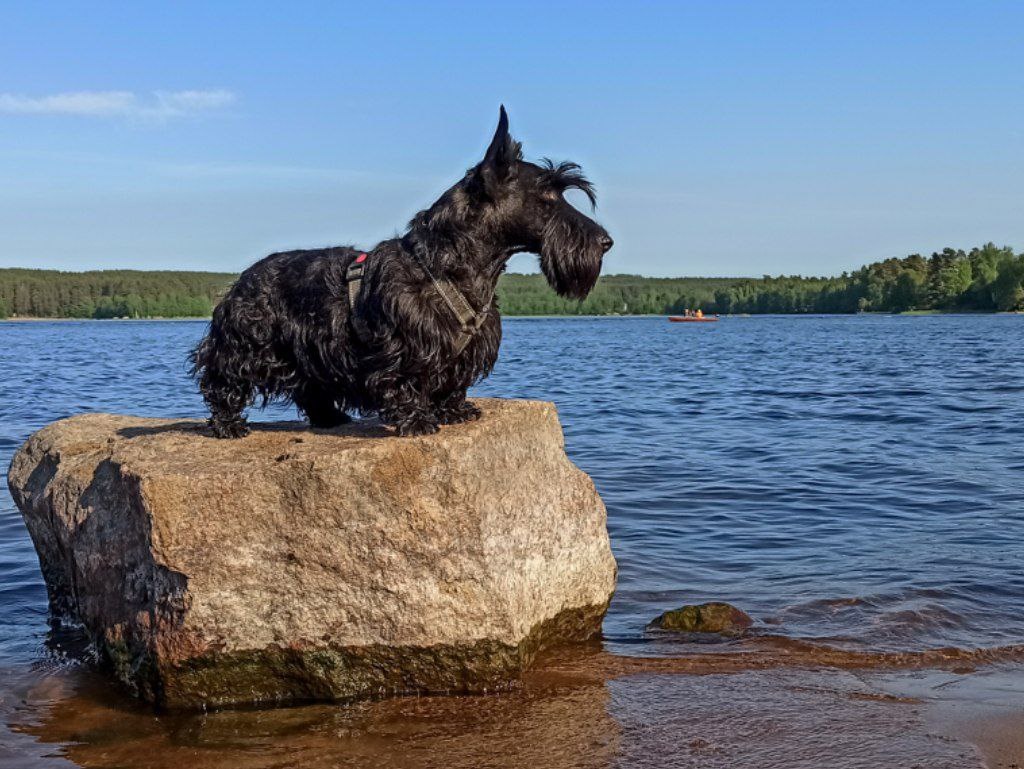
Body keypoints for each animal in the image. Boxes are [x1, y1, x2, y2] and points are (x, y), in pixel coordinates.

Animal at [190, 107, 613, 437]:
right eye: (548, 194)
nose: (606, 242)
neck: (448, 263)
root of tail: (243, 279)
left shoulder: (459, 355)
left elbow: (452, 384)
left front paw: (455, 410)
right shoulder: (401, 348)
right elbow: (405, 383)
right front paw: (418, 420)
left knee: (310, 388)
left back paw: (330, 416)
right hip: (246, 345)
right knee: (222, 381)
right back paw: (230, 425)